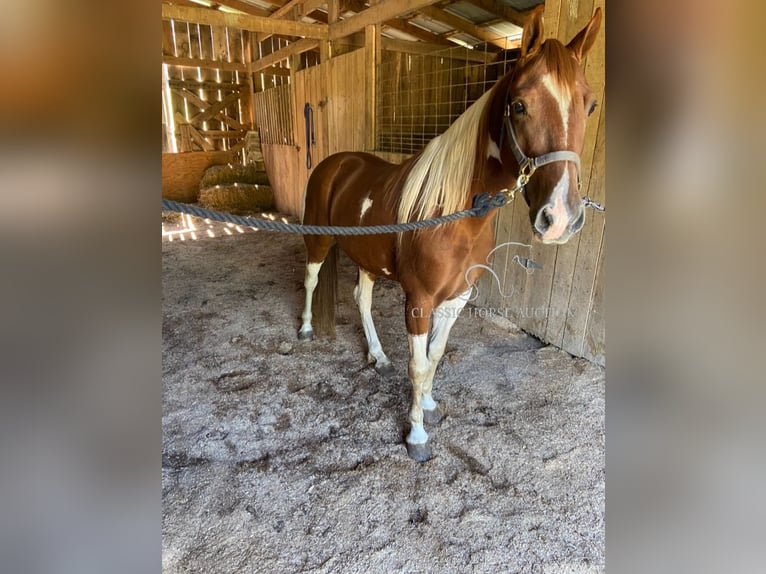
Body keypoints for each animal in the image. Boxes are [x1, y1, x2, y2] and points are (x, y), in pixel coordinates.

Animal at [296, 5, 604, 464]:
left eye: (590, 105)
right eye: (519, 105)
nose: (560, 217)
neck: (453, 215)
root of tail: (334, 163)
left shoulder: (457, 298)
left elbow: (435, 356)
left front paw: (428, 405)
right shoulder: (420, 300)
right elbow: (419, 364)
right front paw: (417, 436)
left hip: (368, 259)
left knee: (362, 300)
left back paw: (377, 355)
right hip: (318, 242)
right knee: (312, 279)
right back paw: (304, 329)